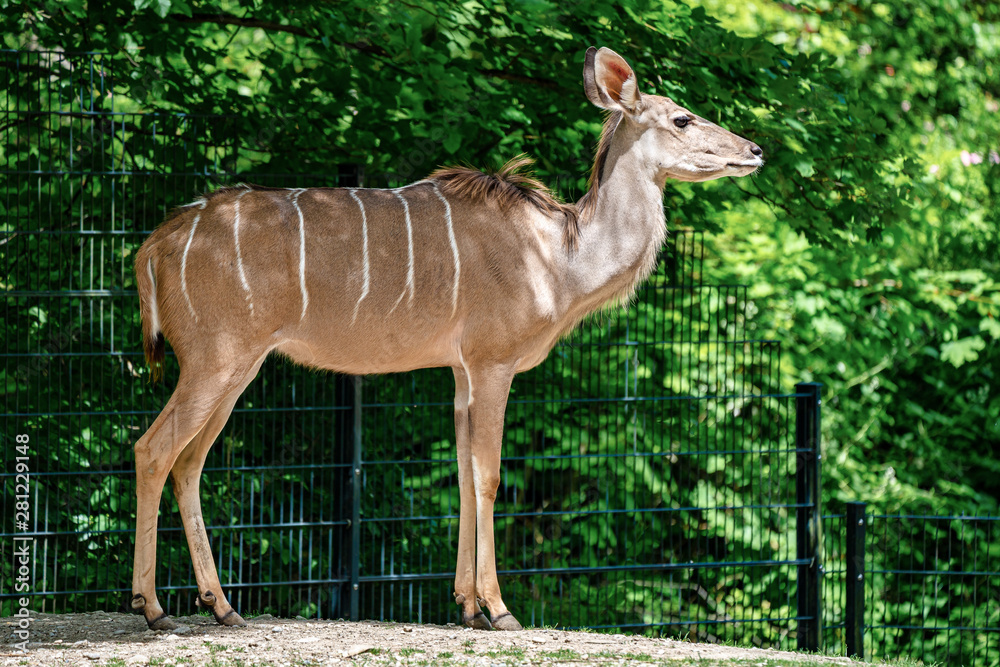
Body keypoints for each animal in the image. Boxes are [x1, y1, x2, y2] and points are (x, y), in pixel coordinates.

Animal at [130, 46, 763, 632]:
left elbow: (461, 474)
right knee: (153, 449)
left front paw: (466, 607)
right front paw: (500, 610)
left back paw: (222, 606)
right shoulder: (492, 362)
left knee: (189, 463)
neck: (559, 256)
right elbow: (489, 475)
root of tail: (155, 244)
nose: (755, 150)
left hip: (238, 368)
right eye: (682, 117)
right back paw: (154, 609)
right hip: (215, 359)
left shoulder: (460, 372)